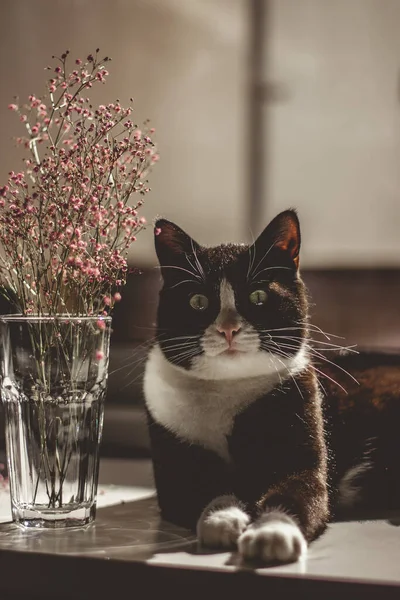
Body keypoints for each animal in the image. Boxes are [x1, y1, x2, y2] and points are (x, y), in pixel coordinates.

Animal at [143, 210, 400, 564]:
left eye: (258, 296)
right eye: (198, 301)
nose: (228, 329)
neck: (227, 390)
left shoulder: (302, 443)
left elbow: (295, 491)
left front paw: (272, 534)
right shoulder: (172, 466)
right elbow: (204, 489)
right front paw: (223, 519)